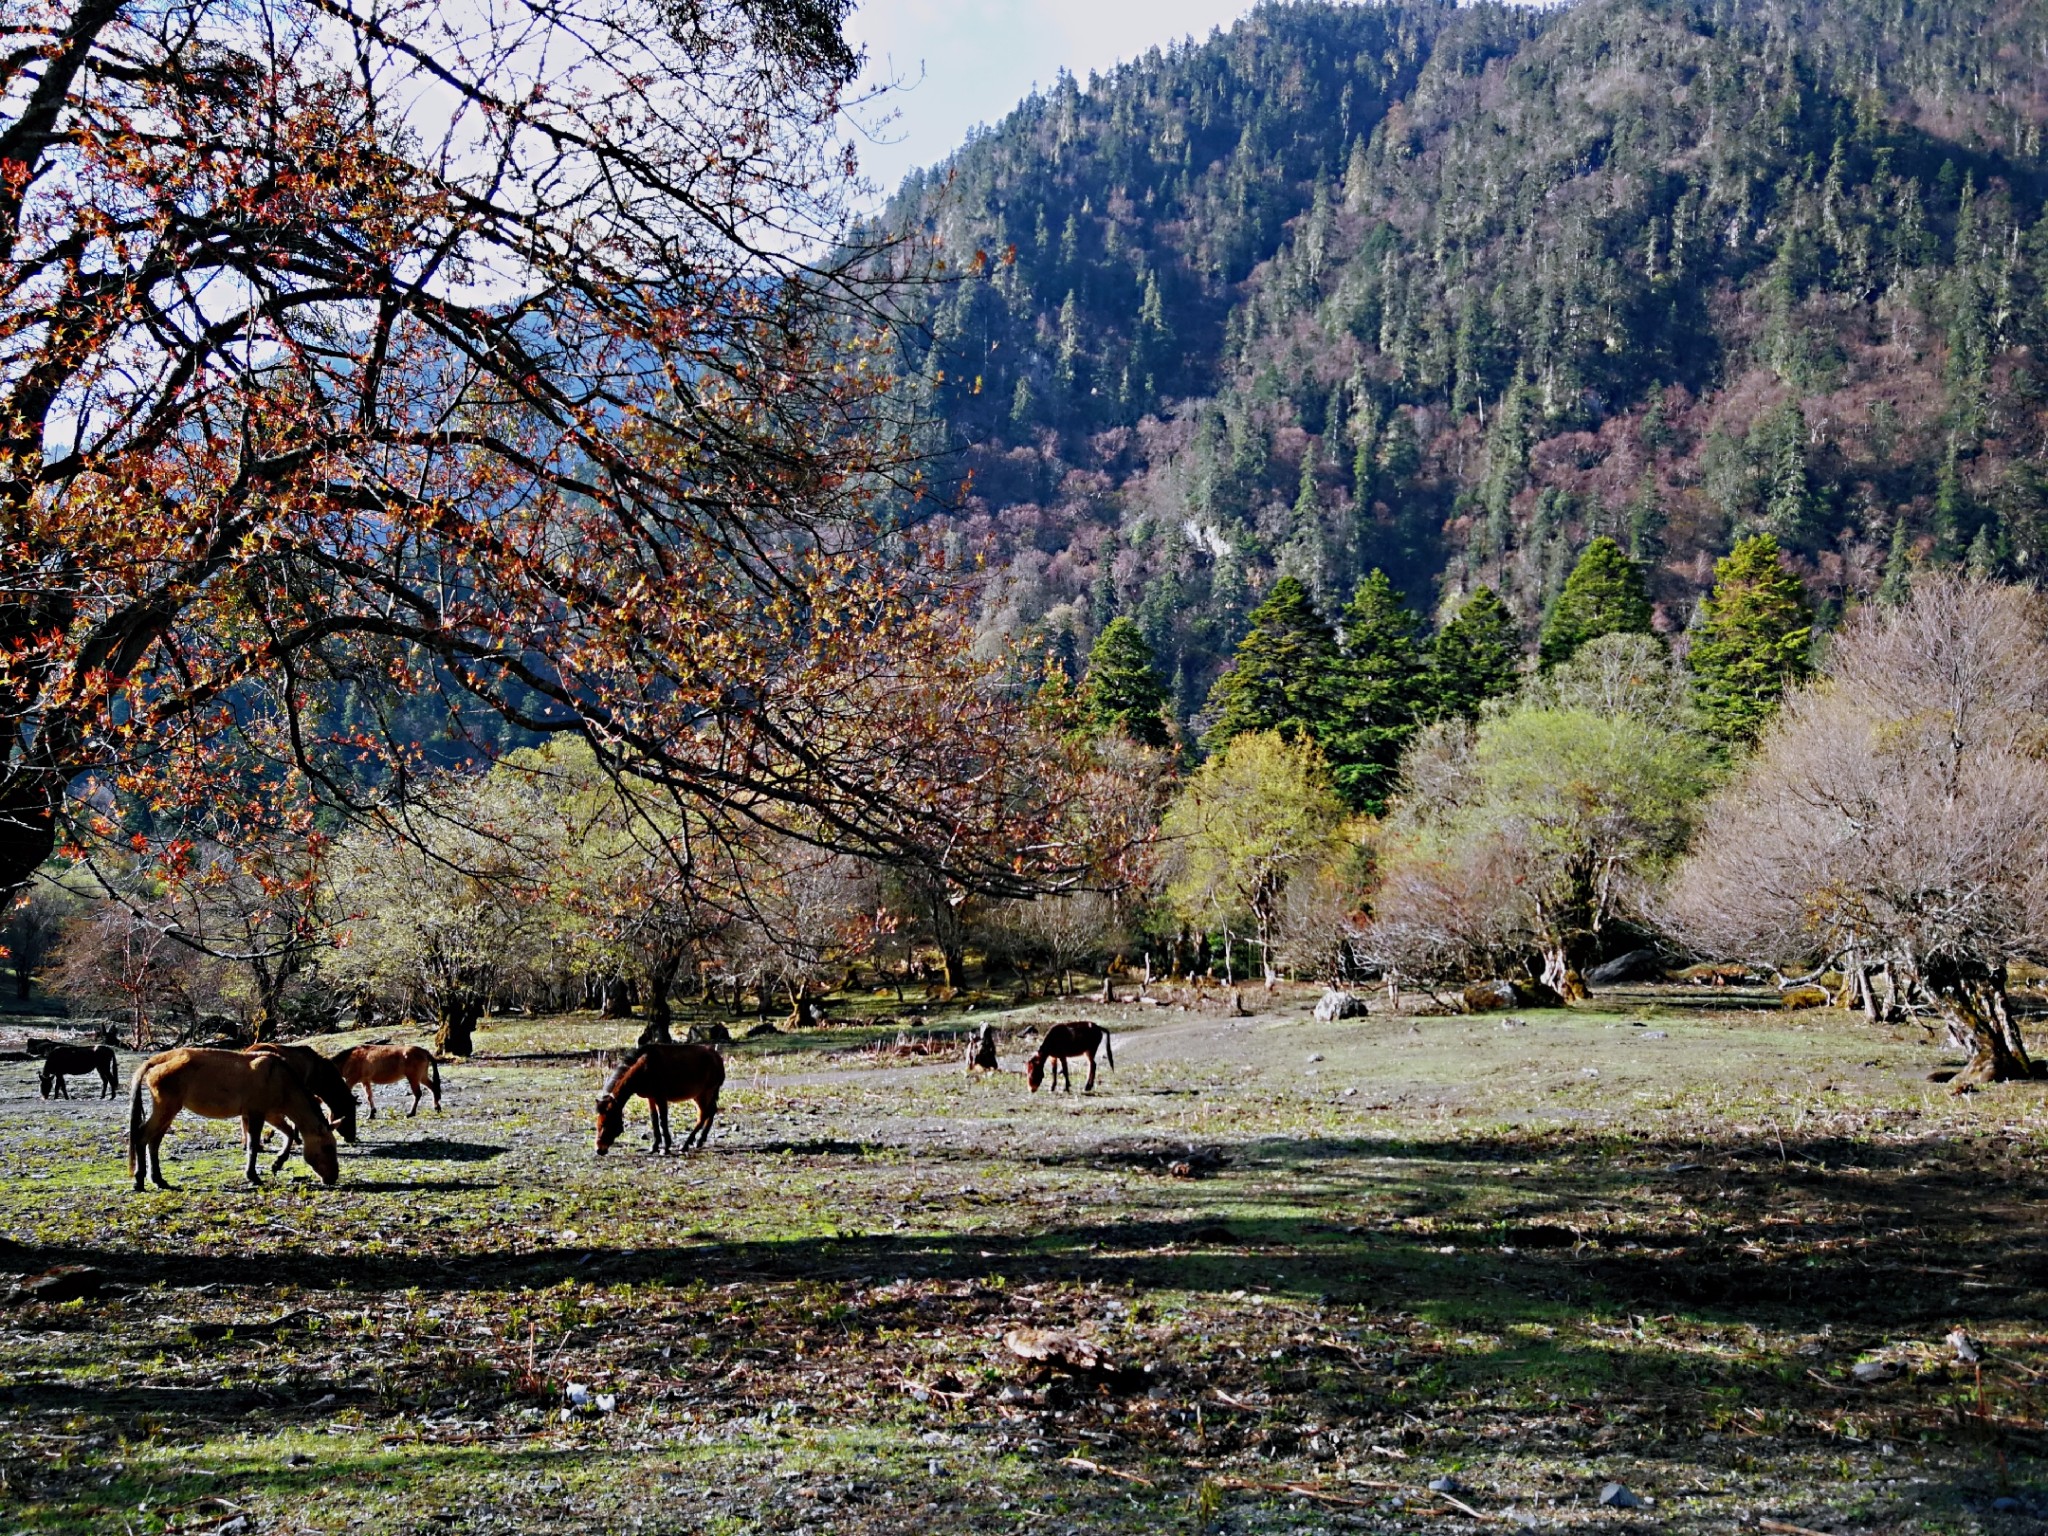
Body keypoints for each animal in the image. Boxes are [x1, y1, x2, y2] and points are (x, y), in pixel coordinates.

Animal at [129, 1056, 339, 1196]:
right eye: (328, 1147)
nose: (334, 1177)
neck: (280, 1079)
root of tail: (155, 1061)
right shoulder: (256, 1114)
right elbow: (253, 1145)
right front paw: (253, 1175)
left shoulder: (270, 1114)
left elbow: (289, 1134)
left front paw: (278, 1162)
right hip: (166, 1109)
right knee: (142, 1136)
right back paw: (139, 1180)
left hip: (168, 1112)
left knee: (153, 1142)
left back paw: (158, 1180)